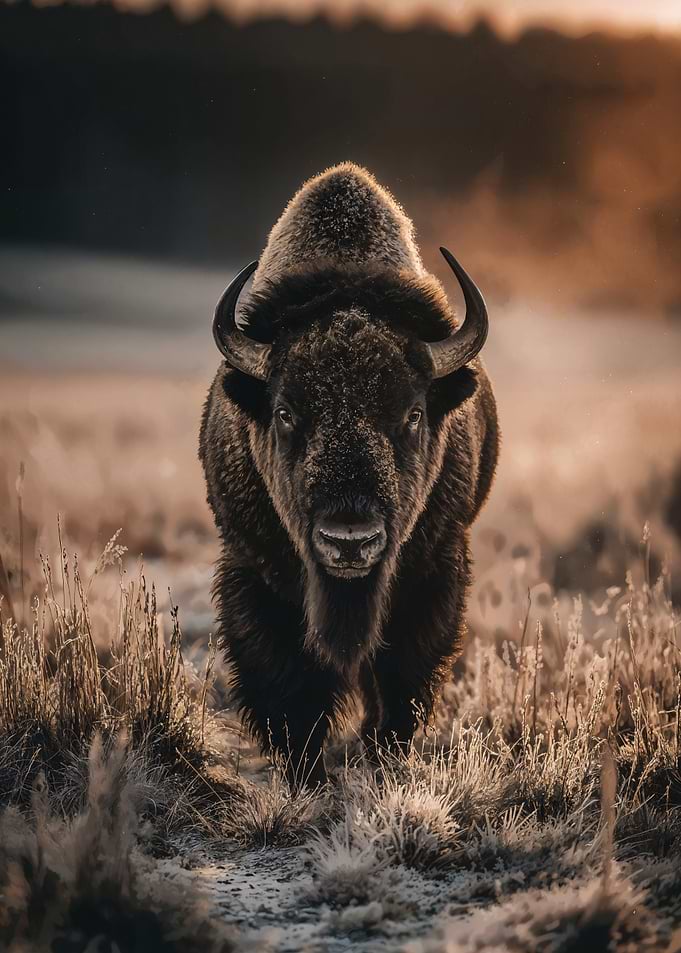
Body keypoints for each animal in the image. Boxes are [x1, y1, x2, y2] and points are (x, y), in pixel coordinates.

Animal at [200, 163, 499, 785]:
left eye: (412, 413)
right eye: (286, 412)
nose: (350, 540)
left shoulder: (433, 573)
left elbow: (400, 680)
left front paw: (382, 759)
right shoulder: (253, 570)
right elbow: (287, 685)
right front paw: (305, 774)